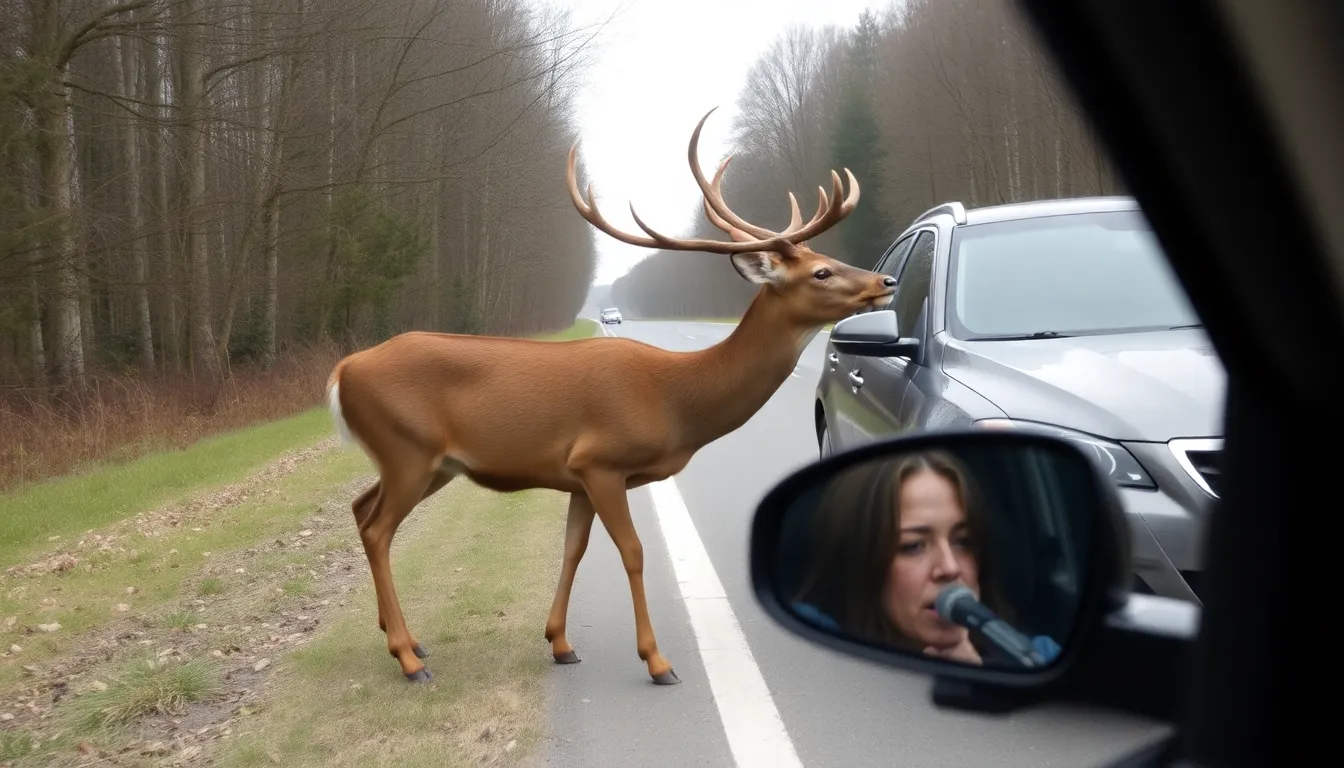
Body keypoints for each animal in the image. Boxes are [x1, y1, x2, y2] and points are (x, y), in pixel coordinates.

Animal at [324, 106, 897, 686]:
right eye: (821, 271)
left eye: (827, 257)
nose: (886, 281)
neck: (677, 402)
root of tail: (343, 371)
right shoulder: (603, 460)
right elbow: (633, 551)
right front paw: (658, 660)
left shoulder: (576, 474)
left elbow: (573, 550)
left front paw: (560, 643)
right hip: (408, 449)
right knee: (379, 529)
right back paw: (409, 657)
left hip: (427, 463)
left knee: (360, 507)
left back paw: (404, 637)